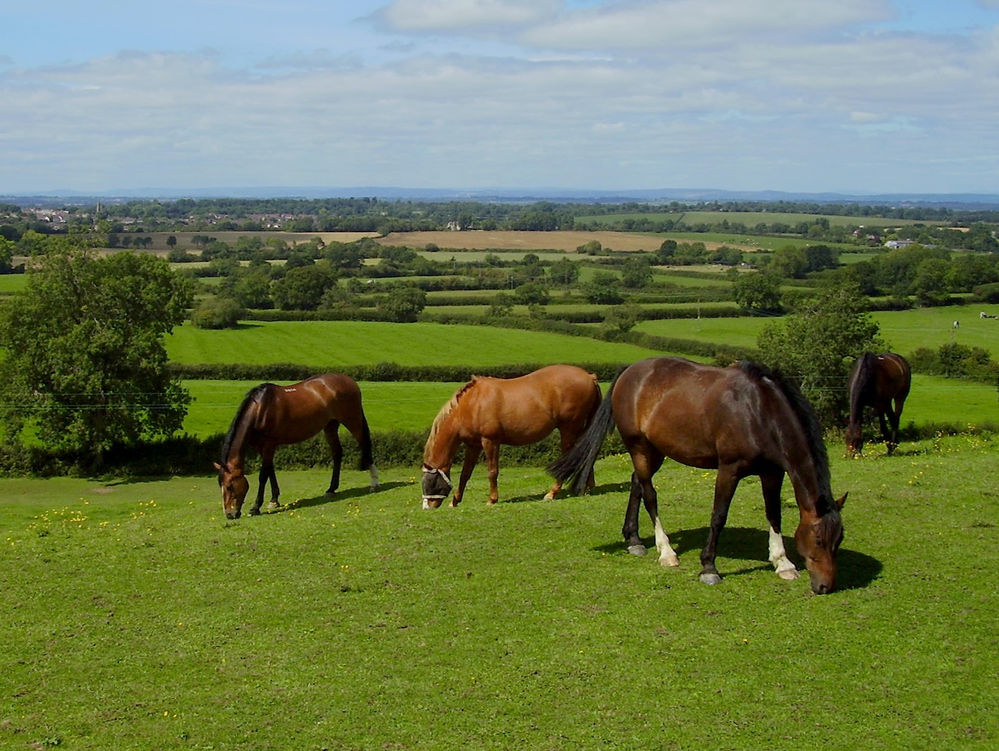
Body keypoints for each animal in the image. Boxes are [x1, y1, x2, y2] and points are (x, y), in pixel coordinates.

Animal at [215, 373, 378, 519]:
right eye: (220, 485)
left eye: (229, 486)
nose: (229, 514)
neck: (260, 409)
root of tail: (350, 381)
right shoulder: (263, 448)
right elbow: (270, 471)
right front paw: (274, 501)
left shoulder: (268, 445)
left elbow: (263, 475)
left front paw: (255, 508)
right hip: (330, 426)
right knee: (337, 453)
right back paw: (331, 489)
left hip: (352, 421)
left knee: (365, 445)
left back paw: (374, 484)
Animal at [421, 364, 601, 508]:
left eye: (430, 482)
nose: (427, 506)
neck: (471, 405)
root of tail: (589, 377)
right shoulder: (473, 445)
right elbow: (465, 473)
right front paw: (455, 501)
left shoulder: (490, 441)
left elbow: (492, 471)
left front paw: (492, 499)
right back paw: (586, 487)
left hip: (569, 429)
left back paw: (553, 493)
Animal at [549, 357, 846, 594]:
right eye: (819, 540)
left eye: (839, 539)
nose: (825, 586)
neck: (758, 411)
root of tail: (630, 371)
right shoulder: (729, 469)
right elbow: (718, 516)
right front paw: (709, 568)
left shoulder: (772, 472)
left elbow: (774, 514)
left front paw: (782, 563)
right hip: (639, 447)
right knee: (649, 494)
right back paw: (666, 551)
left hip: (654, 451)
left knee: (636, 484)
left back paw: (634, 540)